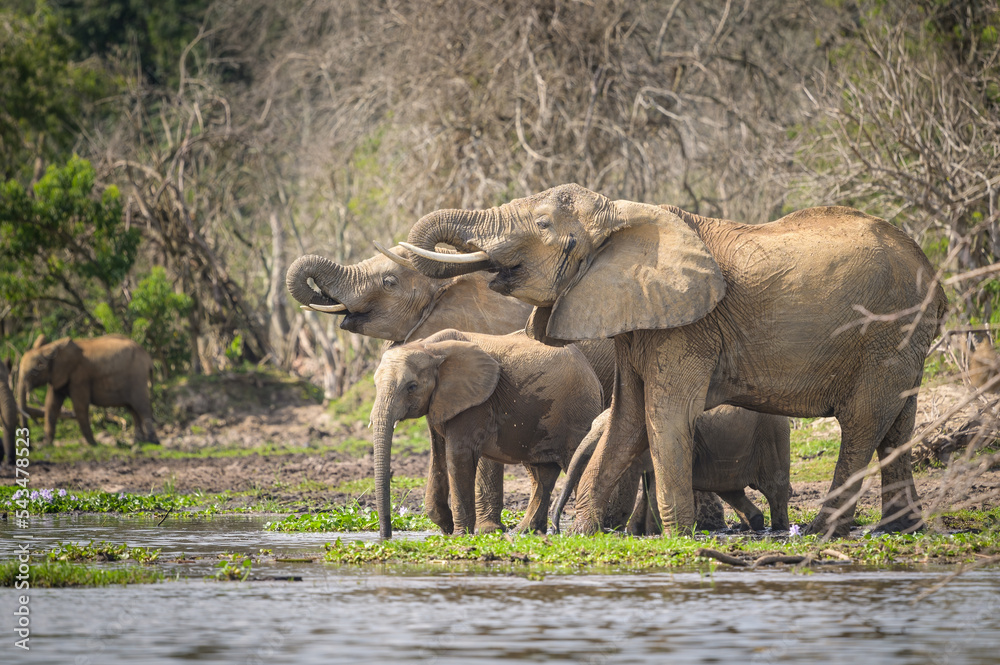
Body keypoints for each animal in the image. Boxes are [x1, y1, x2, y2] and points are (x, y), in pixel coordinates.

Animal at [18, 335, 160, 446]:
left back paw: (152, 442)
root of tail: (148, 358)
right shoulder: (59, 376)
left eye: (34, 372)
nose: (31, 448)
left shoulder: (80, 376)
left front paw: (93, 444)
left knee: (141, 406)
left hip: (137, 377)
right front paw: (45, 446)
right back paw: (139, 442)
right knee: (132, 408)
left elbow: (79, 406)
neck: (52, 347)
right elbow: (51, 405)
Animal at [371, 329, 603, 538]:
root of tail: (594, 377)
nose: (386, 536)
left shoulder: (475, 403)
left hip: (577, 411)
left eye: (411, 386)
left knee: (573, 463)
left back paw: (579, 532)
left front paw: (459, 535)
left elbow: (457, 456)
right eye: (375, 384)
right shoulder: (440, 401)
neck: (430, 347)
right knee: (542, 474)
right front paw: (446, 527)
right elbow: (438, 456)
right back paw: (526, 532)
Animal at [552, 406, 791, 534]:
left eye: (602, 435)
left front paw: (650, 533)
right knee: (731, 491)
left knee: (775, 490)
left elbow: (656, 487)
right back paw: (753, 524)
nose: (555, 529)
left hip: (773, 439)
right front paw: (636, 533)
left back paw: (779, 529)